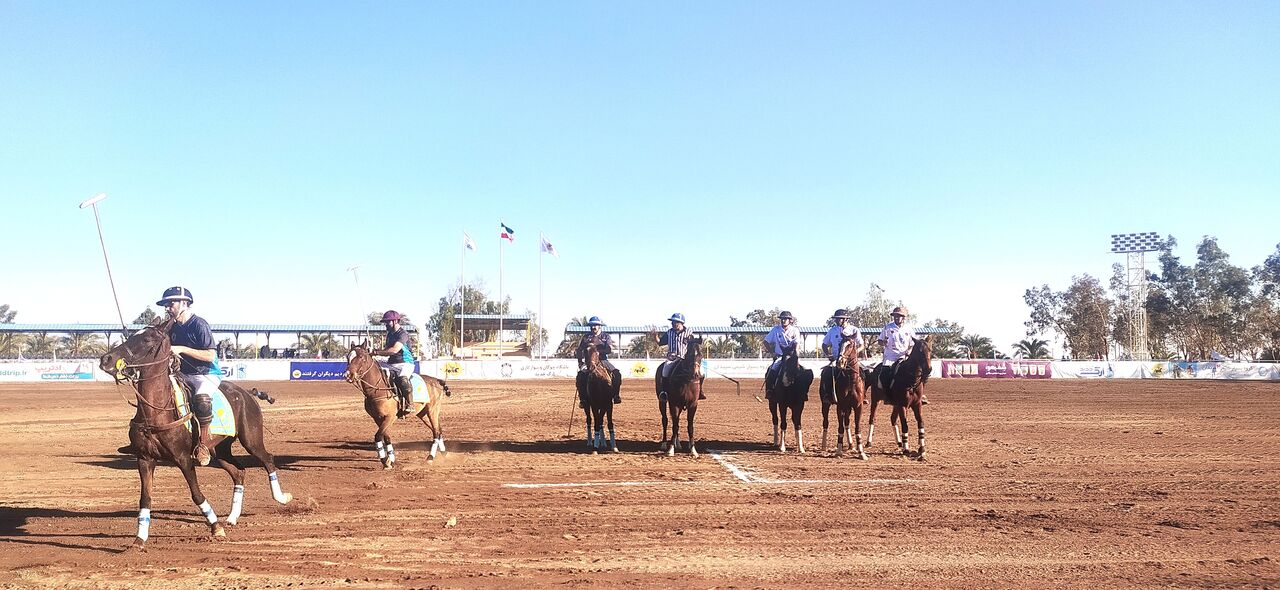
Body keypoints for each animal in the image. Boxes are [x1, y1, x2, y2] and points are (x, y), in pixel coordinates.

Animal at [99, 319, 293, 550]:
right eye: (130, 335)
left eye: (147, 339)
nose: (106, 359)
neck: (156, 411)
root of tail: (247, 393)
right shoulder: (144, 458)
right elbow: (145, 498)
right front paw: (139, 539)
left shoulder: (183, 458)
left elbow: (196, 493)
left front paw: (216, 528)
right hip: (219, 450)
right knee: (239, 472)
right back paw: (232, 517)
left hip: (251, 439)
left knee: (267, 459)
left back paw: (281, 497)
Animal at [345, 340, 450, 468]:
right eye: (348, 357)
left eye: (361, 357)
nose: (348, 375)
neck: (378, 389)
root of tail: (437, 381)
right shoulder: (377, 418)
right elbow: (386, 437)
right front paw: (391, 459)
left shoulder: (390, 417)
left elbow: (378, 436)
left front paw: (385, 460)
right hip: (423, 414)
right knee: (439, 431)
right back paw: (444, 454)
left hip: (432, 411)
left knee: (436, 432)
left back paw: (430, 457)